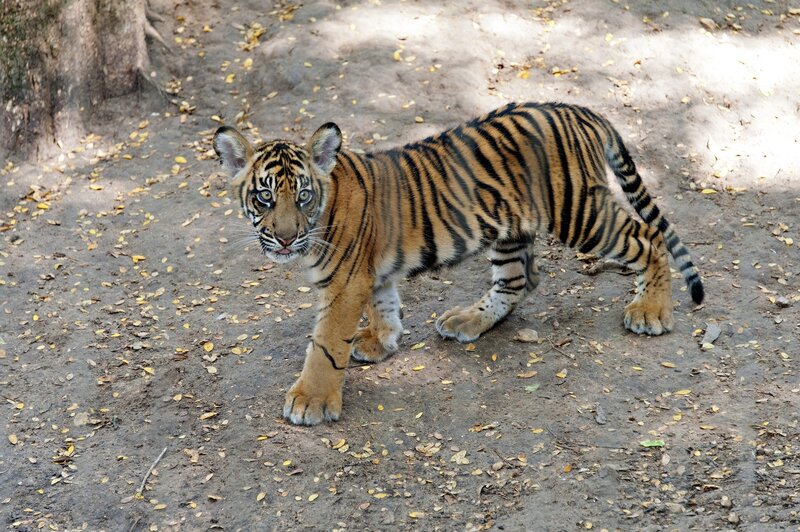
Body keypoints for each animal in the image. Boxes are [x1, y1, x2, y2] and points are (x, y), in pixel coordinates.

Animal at [212, 102, 704, 426]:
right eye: (264, 197)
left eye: (302, 196)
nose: (285, 237)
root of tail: (580, 110)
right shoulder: (369, 273)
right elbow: (384, 301)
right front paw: (381, 340)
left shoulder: (345, 284)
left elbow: (325, 344)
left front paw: (309, 401)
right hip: (510, 229)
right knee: (521, 279)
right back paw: (467, 320)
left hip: (580, 213)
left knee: (648, 237)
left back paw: (651, 312)